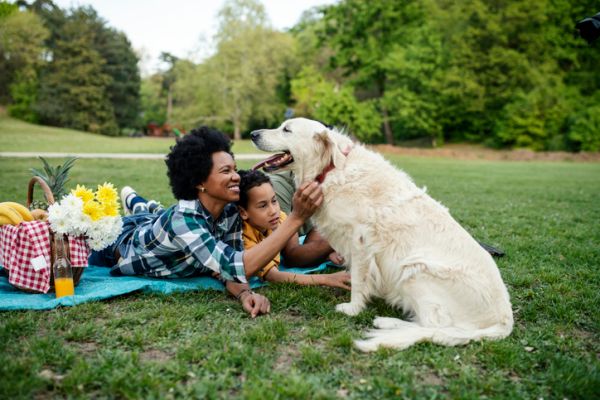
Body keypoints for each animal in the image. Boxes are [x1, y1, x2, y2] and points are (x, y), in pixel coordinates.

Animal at [248, 118, 510, 350]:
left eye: (287, 129)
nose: (253, 134)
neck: (331, 169)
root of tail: (505, 320)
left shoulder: (360, 241)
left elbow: (358, 281)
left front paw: (353, 309)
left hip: (414, 269)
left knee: (435, 326)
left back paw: (388, 323)